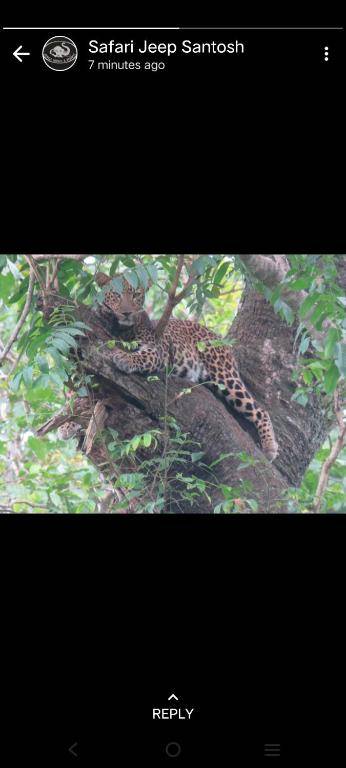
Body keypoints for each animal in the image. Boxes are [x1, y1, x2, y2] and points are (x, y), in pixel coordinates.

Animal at [94, 272, 278, 460]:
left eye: (136, 295)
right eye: (117, 294)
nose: (126, 313)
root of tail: (220, 339)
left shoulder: (158, 352)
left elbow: (142, 356)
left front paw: (124, 358)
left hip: (224, 375)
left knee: (259, 409)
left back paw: (270, 446)